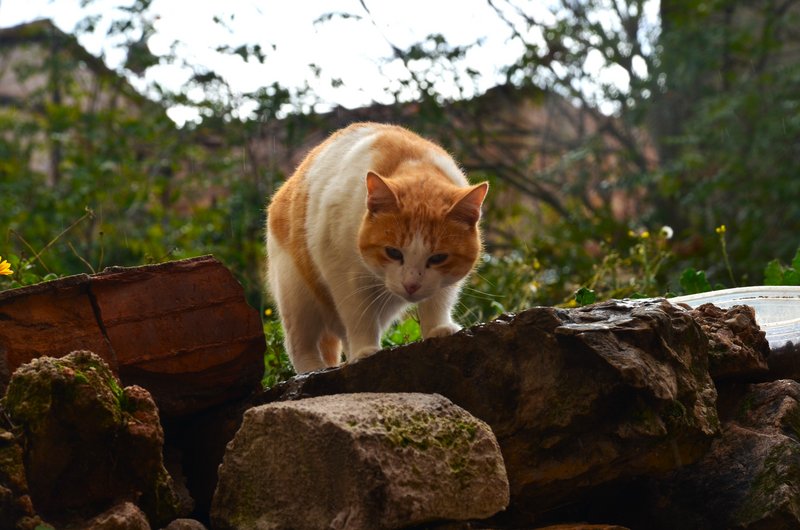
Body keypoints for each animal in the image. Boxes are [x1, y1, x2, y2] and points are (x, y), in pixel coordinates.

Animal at [266, 122, 488, 372]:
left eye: (438, 258)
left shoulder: (446, 280)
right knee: (299, 343)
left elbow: (438, 300)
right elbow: (358, 316)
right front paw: (364, 351)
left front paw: (436, 329)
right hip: (297, 294)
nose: (411, 285)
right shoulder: (344, 274)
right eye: (393, 252)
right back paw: (314, 368)